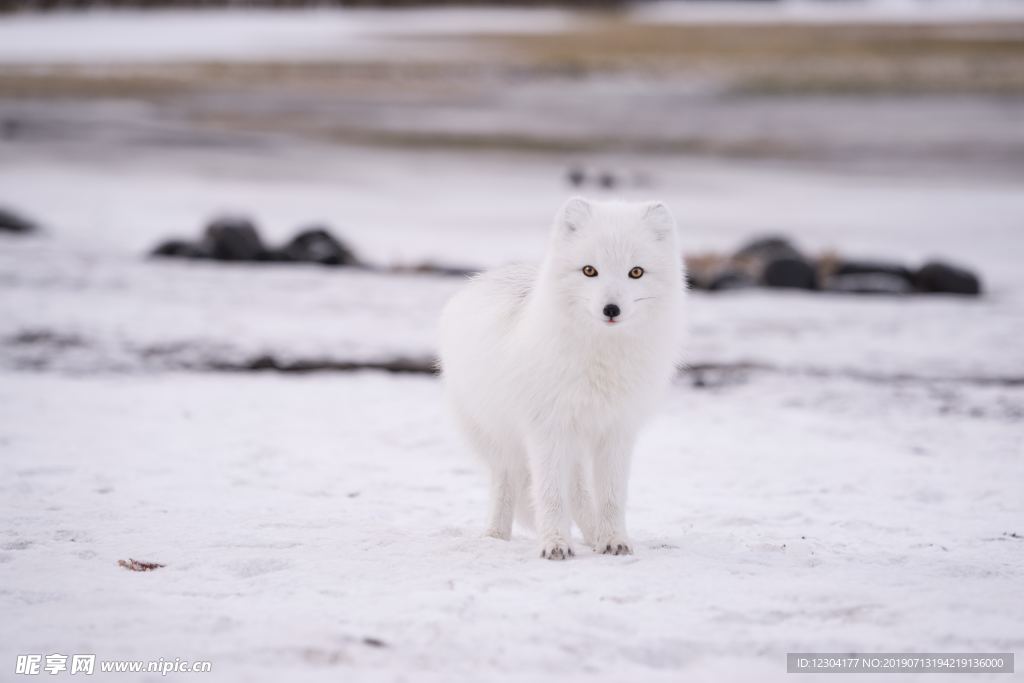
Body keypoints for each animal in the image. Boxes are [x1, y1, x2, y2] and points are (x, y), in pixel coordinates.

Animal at [436, 197, 684, 561]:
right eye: (589, 270)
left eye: (635, 272)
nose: (611, 309)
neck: (600, 359)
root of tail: (485, 277)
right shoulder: (546, 429)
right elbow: (551, 495)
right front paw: (554, 544)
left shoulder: (617, 431)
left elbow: (611, 496)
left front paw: (614, 540)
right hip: (500, 439)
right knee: (506, 482)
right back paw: (496, 536)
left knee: (580, 493)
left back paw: (594, 536)